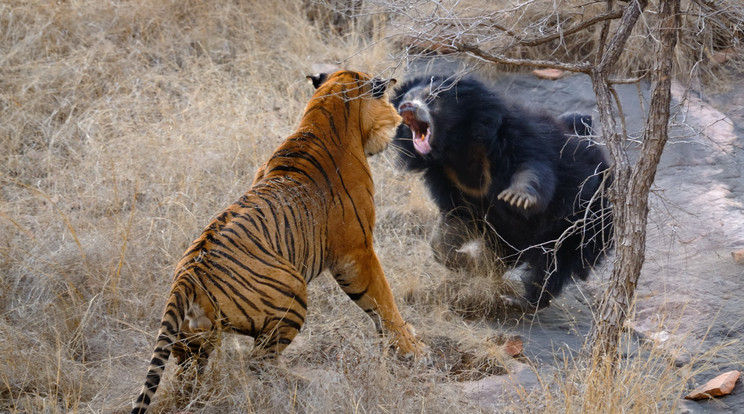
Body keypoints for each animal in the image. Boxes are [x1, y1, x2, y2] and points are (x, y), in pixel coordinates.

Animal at [131, 69, 428, 412]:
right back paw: (307, 383)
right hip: (293, 290)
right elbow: (383, 300)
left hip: (192, 343)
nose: (398, 117)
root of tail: (186, 278)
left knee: (188, 379)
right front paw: (413, 348)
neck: (323, 115)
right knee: (258, 361)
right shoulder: (357, 252)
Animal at [392, 73, 612, 310]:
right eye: (406, 99)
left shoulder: (516, 137)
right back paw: (492, 266)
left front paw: (517, 198)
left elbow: (533, 168)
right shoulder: (449, 180)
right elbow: (454, 223)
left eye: (431, 97)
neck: (456, 148)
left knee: (554, 264)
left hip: (584, 221)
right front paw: (470, 263)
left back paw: (523, 300)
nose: (406, 107)